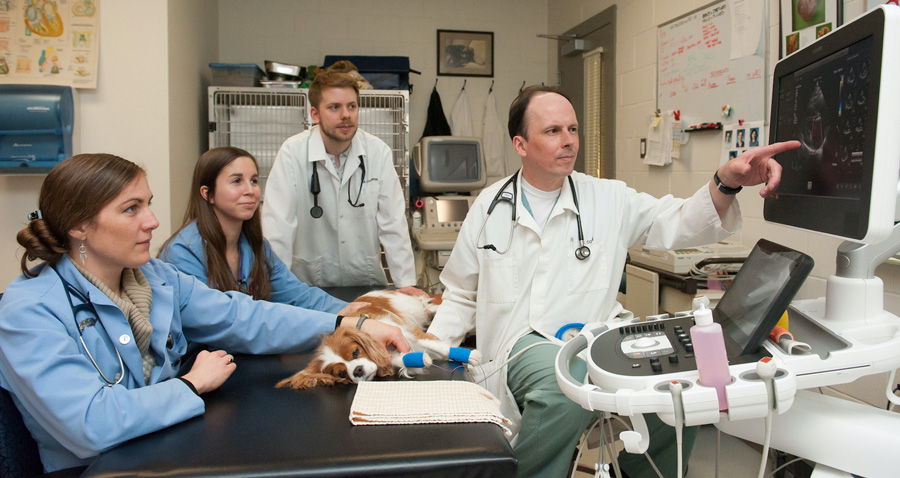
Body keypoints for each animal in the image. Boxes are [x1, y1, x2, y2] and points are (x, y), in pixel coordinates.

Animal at [276, 290, 482, 390]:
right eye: (341, 373)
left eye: (355, 352)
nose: (357, 370)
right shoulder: (395, 350)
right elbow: (403, 358)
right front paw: (421, 359)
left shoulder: (404, 331)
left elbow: (435, 344)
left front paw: (471, 356)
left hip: (410, 307)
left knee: (427, 305)